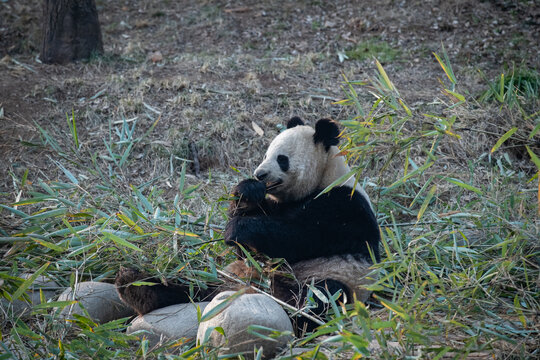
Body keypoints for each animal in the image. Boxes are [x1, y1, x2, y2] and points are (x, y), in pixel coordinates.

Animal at [115, 117, 380, 332]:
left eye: (281, 159)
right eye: (265, 155)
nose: (260, 174)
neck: (326, 177)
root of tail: (251, 290)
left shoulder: (344, 205)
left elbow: (301, 236)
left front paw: (237, 229)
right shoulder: (277, 205)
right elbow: (249, 247)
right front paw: (247, 191)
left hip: (332, 279)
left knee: (323, 296)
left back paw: (293, 316)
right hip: (223, 278)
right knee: (190, 286)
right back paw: (134, 285)